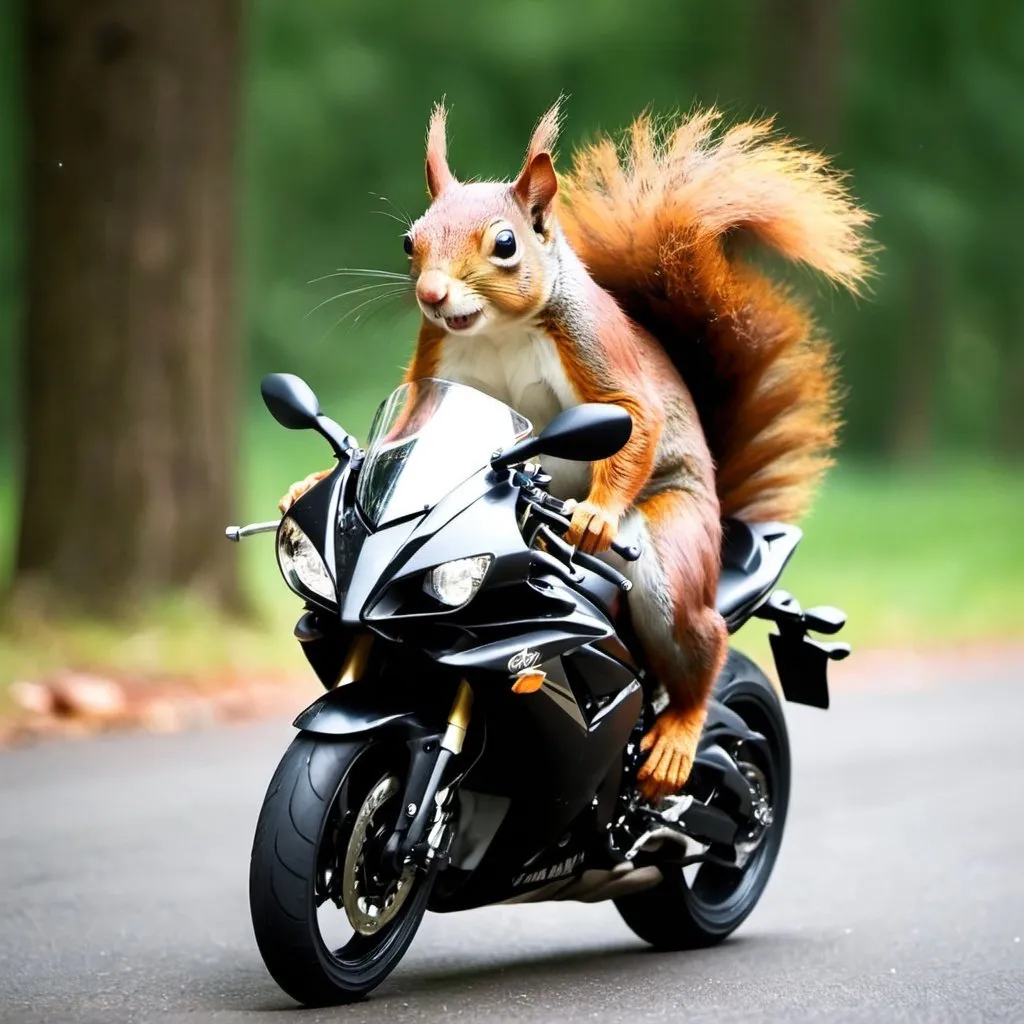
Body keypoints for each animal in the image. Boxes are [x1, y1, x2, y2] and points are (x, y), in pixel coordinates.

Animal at [282, 99, 872, 798]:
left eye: (505, 243)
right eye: (410, 241)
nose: (431, 294)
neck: (500, 330)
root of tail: (729, 527)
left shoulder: (592, 345)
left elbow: (635, 417)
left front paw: (594, 517)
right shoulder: (434, 365)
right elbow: (405, 431)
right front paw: (309, 481)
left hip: (673, 557)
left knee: (700, 640)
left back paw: (679, 733)